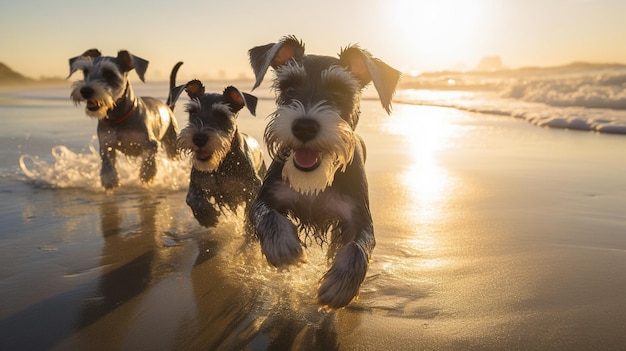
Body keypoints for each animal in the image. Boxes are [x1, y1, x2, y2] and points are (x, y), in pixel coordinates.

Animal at [69, 49, 180, 190]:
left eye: (109, 74)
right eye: (85, 71)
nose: (86, 90)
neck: (118, 117)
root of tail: (168, 106)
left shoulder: (150, 144)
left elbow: (148, 161)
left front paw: (147, 176)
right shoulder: (106, 145)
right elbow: (107, 164)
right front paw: (110, 180)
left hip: (172, 143)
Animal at [171, 79, 266, 228]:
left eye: (221, 115)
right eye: (193, 112)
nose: (199, 138)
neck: (220, 165)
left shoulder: (252, 188)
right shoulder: (196, 184)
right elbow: (190, 198)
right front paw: (206, 216)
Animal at [245, 36, 398, 310]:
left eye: (339, 92)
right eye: (289, 88)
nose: (304, 127)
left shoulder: (359, 217)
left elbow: (358, 247)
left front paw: (341, 285)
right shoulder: (265, 196)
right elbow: (266, 214)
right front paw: (282, 245)